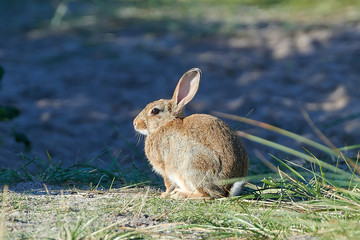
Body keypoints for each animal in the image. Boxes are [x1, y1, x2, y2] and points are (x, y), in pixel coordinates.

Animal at [134, 67, 249, 199]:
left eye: (154, 111)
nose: (135, 123)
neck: (165, 124)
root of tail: (229, 187)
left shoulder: (164, 165)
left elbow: (168, 183)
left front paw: (164, 194)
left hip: (192, 164)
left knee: (207, 194)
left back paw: (179, 193)